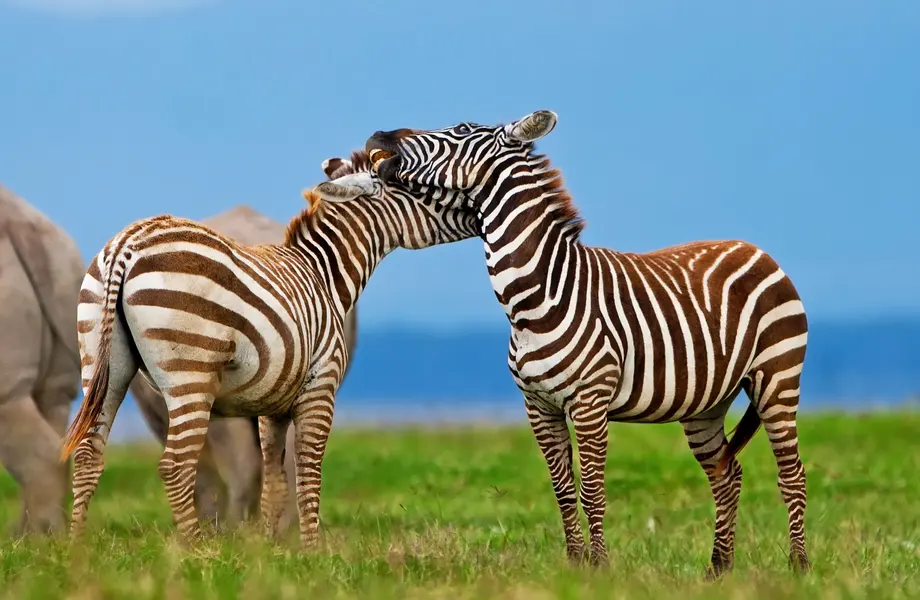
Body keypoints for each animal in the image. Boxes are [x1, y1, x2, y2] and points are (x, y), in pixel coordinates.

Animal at [59, 150, 478, 546]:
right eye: (423, 188)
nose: (475, 211)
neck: (324, 275)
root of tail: (127, 245)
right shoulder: (320, 386)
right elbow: (308, 470)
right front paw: (311, 552)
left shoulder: (272, 403)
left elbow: (275, 478)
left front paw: (272, 549)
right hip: (190, 374)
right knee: (176, 465)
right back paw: (197, 552)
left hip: (102, 362)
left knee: (88, 453)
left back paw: (79, 550)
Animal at [365, 111, 810, 577]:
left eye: (462, 130)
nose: (378, 135)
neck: (536, 298)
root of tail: (756, 250)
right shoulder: (538, 406)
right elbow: (562, 489)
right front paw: (574, 563)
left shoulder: (589, 401)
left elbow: (591, 488)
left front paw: (598, 566)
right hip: (706, 404)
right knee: (727, 475)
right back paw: (718, 569)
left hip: (778, 378)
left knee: (792, 474)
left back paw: (799, 566)